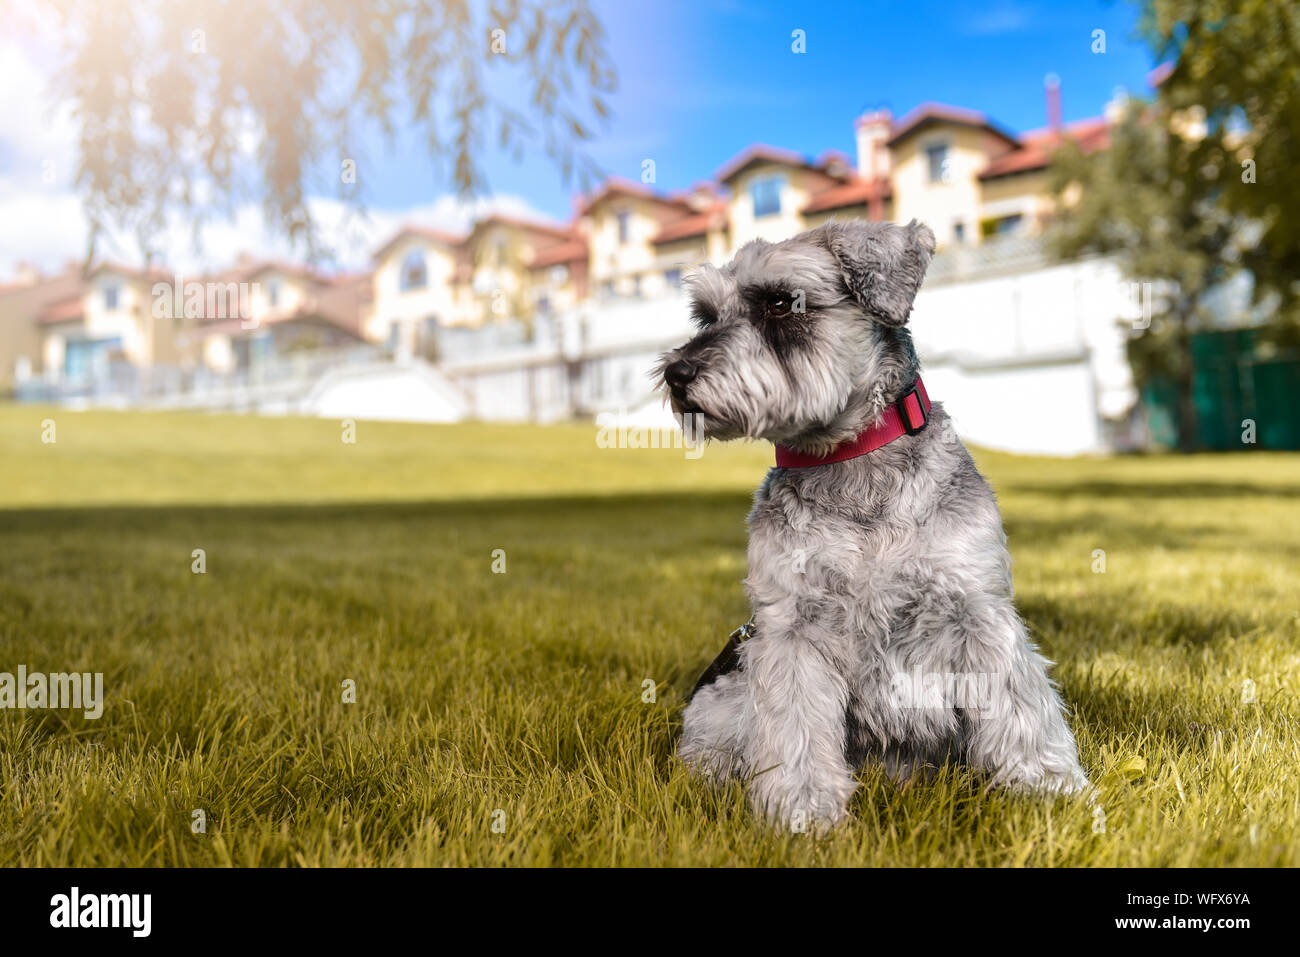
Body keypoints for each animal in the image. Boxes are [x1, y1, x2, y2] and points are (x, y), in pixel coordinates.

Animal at [655, 218, 1092, 832]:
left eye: (781, 303)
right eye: (705, 316)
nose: (678, 373)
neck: (852, 464)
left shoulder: (978, 610)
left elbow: (1019, 707)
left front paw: (1048, 790)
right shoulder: (792, 630)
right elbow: (794, 731)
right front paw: (803, 811)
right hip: (720, 699)